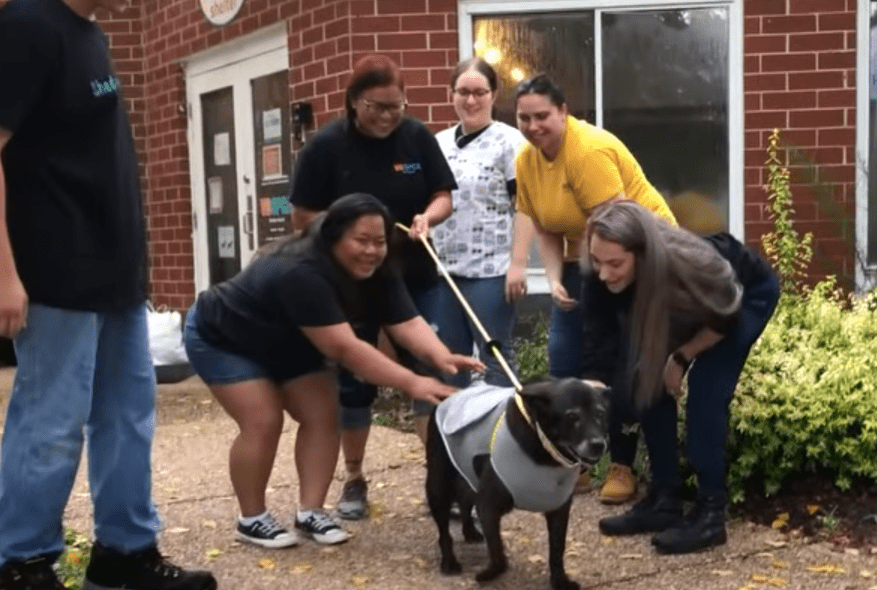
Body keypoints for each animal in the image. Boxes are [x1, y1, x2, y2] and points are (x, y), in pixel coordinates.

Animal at [426, 380, 608, 590]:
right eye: (572, 416)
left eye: (600, 414)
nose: (599, 445)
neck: (541, 448)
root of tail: (451, 396)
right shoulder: (488, 506)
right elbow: (498, 552)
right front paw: (491, 573)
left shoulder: (559, 511)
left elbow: (557, 550)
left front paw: (559, 580)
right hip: (438, 486)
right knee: (444, 532)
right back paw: (449, 562)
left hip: (468, 475)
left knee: (464, 501)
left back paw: (470, 532)